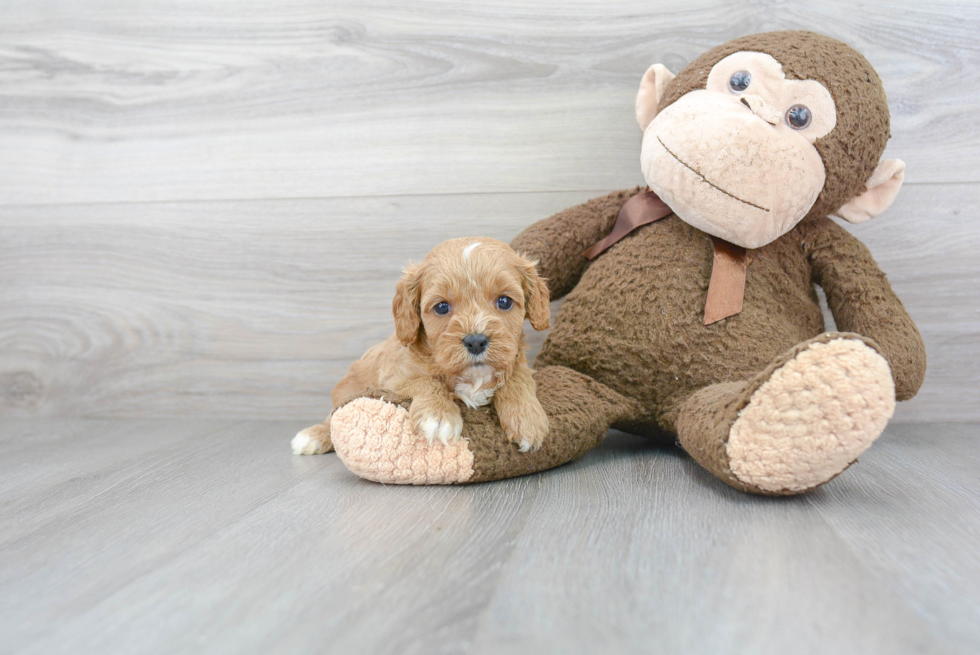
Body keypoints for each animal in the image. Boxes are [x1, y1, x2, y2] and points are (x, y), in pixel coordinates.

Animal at [290, 236, 552, 456]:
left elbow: (517, 377)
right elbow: (425, 381)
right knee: (332, 417)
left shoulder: (517, 361)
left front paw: (527, 419)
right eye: (442, 307)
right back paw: (312, 436)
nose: (476, 341)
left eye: (505, 301)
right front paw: (438, 416)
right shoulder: (394, 379)